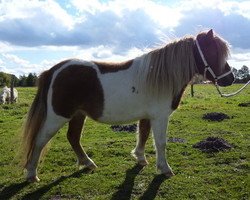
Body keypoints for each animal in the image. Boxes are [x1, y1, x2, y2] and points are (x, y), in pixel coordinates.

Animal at [20, 28, 234, 182]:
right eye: (213, 51)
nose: (230, 78)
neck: (159, 77)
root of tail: (53, 70)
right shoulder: (160, 116)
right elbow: (160, 142)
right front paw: (165, 169)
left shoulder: (147, 116)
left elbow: (143, 135)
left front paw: (140, 158)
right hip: (58, 116)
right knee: (40, 140)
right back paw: (32, 174)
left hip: (78, 114)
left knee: (73, 137)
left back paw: (88, 163)